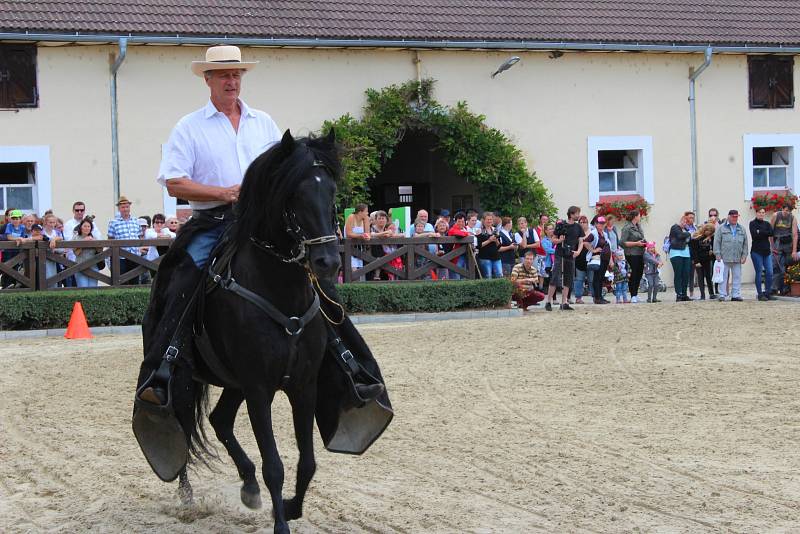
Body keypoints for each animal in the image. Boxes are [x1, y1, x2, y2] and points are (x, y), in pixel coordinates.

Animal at [139, 131, 376, 534]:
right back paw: (187, 498)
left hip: (234, 383)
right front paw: (281, 523)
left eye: (330, 190)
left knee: (219, 421)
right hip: (192, 379)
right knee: (181, 428)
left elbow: (307, 461)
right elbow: (275, 465)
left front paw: (292, 507)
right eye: (294, 193)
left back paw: (248, 486)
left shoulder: (302, 386)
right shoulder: (259, 388)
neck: (280, 293)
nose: (327, 261)